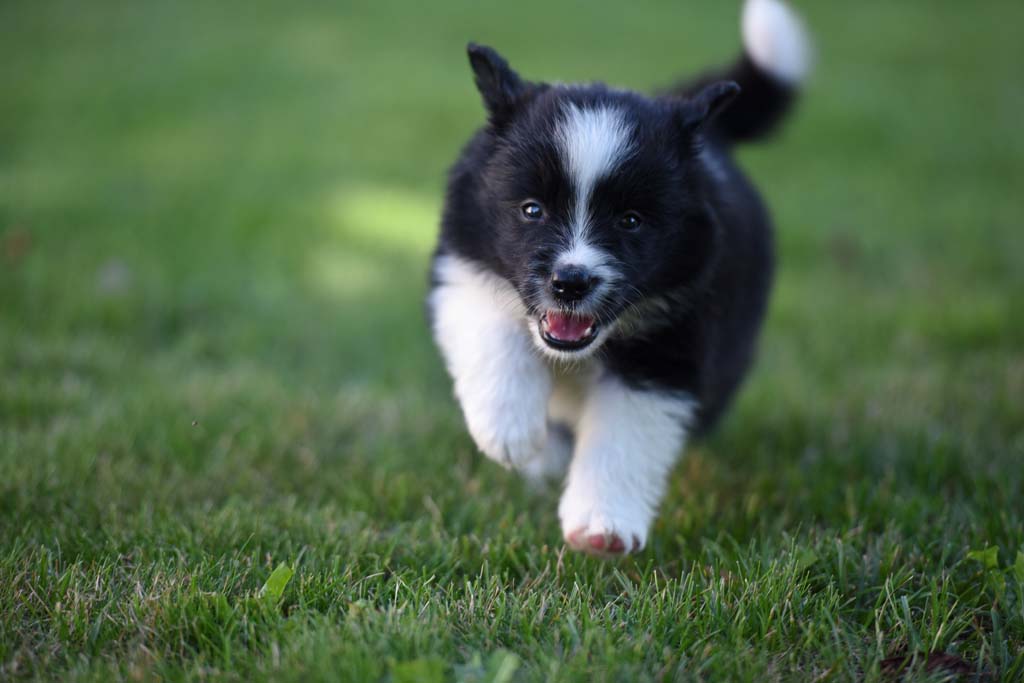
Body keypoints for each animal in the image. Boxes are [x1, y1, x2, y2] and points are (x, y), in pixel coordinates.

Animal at [425, 0, 806, 557]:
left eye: (630, 221)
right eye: (531, 210)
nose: (570, 282)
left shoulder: (671, 345)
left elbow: (626, 436)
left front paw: (602, 524)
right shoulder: (464, 260)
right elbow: (493, 326)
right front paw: (508, 428)